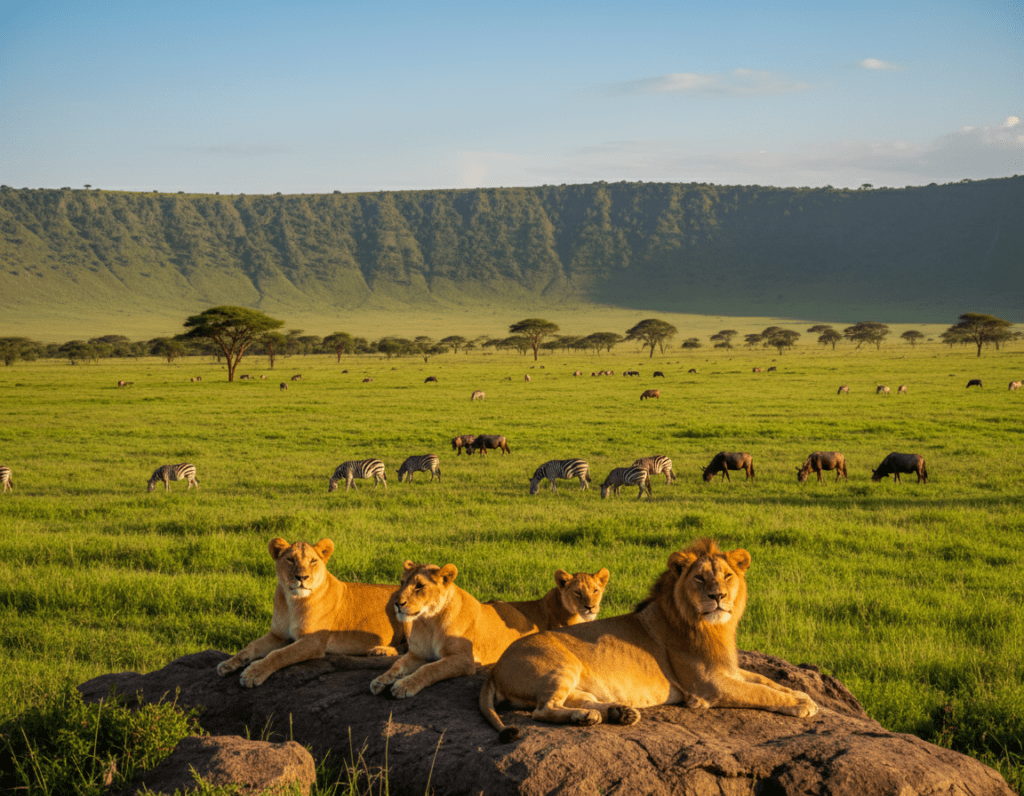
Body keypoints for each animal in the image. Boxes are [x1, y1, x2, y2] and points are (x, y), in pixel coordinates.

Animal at [216, 538, 408, 687]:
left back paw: (381, 651)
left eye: (313, 561)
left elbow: (279, 654)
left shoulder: (313, 641)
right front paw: (228, 664)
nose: (302, 577)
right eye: (290, 560)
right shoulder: (278, 635)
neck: (292, 602)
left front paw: (253, 673)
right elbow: (252, 646)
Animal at [370, 562, 609, 699]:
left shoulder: (464, 660)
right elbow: (398, 665)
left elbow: (429, 669)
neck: (429, 620)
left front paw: (404, 685)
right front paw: (381, 680)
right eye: (402, 582)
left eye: (419, 586)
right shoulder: (417, 654)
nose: (397, 603)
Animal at [479, 538, 817, 741]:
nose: (717, 596)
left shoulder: (727, 669)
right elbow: (761, 693)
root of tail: (495, 668)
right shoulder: (709, 686)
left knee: (576, 699)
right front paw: (801, 706)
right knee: (543, 709)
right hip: (561, 666)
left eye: (727, 576)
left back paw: (619, 712)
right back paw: (587, 717)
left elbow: (766, 681)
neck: (713, 627)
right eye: (699, 578)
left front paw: (803, 696)